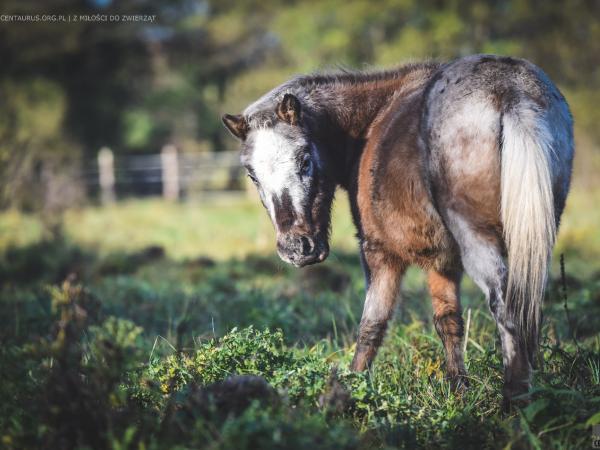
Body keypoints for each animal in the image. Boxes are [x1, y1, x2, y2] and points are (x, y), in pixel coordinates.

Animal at [223, 53, 576, 408]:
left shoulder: (379, 254)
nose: (297, 249)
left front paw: (350, 389)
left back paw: (515, 401)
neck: (372, 120)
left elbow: (372, 325)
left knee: (508, 307)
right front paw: (458, 390)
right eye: (252, 175)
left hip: (478, 242)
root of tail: (509, 92)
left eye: (305, 159)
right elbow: (448, 321)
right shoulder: (443, 261)